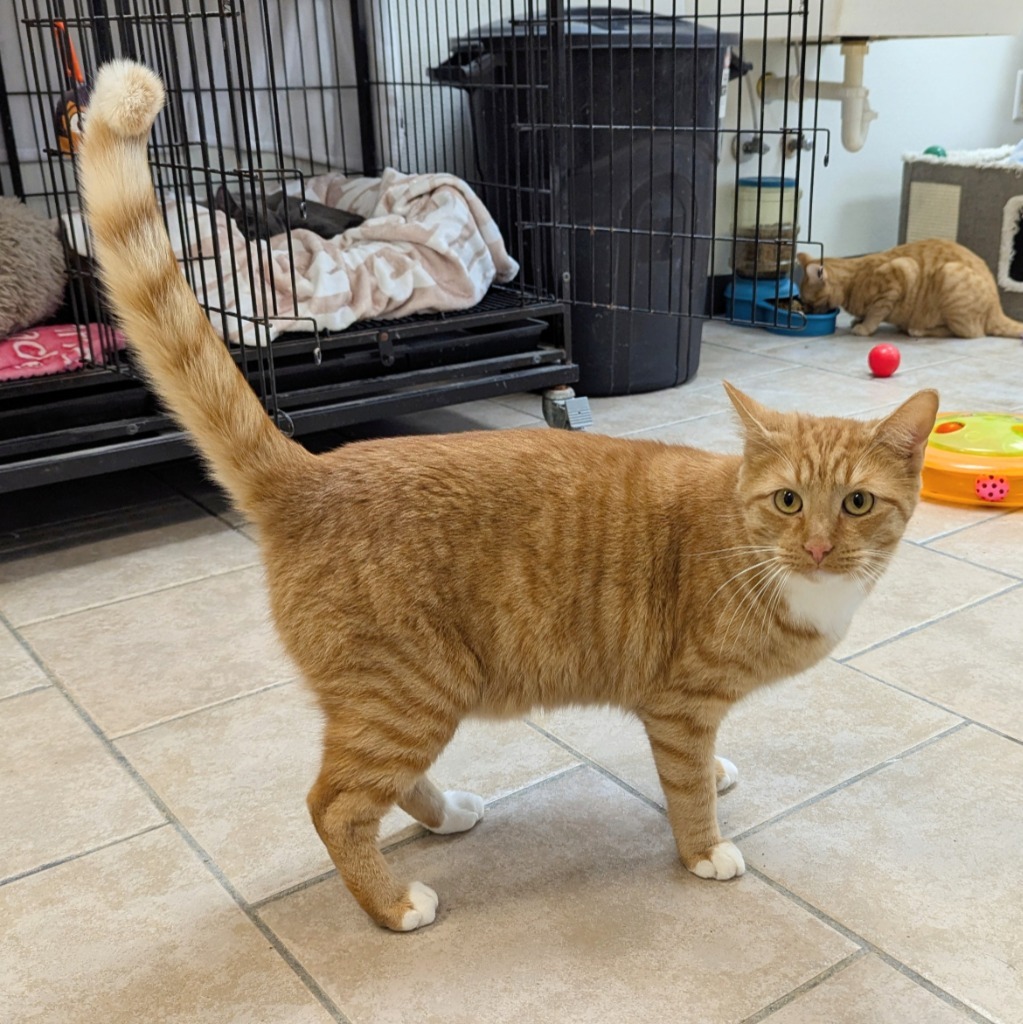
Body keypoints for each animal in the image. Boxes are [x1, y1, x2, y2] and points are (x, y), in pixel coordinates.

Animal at [798, 237, 1023, 337]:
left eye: (809, 302)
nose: (807, 311)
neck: (854, 279)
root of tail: (997, 308)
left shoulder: (902, 272)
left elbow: (876, 312)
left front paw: (864, 327)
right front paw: (858, 320)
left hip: (949, 275)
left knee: (970, 333)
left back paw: (917, 329)